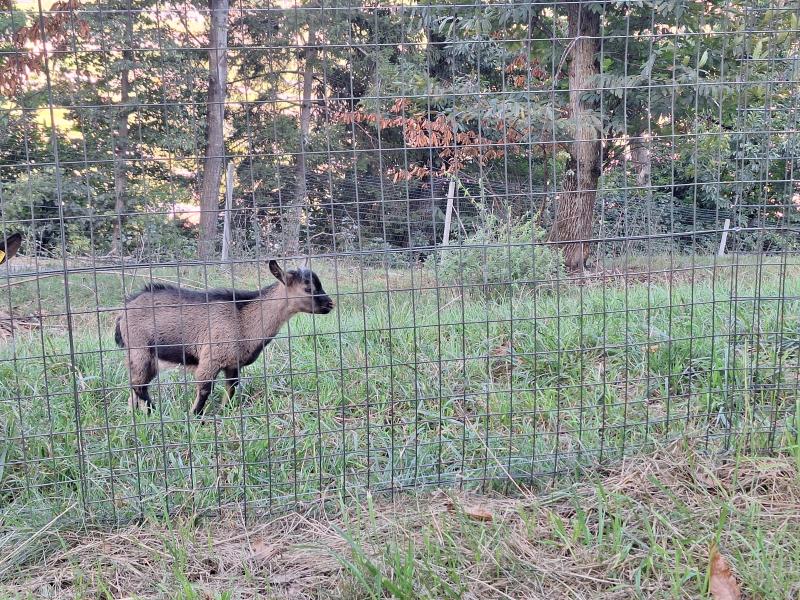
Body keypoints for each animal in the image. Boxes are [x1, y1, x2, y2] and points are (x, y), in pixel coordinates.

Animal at [114, 260, 332, 414]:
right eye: (308, 288)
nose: (330, 304)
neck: (243, 319)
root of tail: (124, 310)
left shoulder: (233, 364)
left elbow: (232, 389)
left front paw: (225, 411)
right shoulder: (211, 358)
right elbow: (204, 390)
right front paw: (195, 418)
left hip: (146, 358)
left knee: (135, 387)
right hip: (140, 349)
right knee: (139, 385)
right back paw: (154, 411)